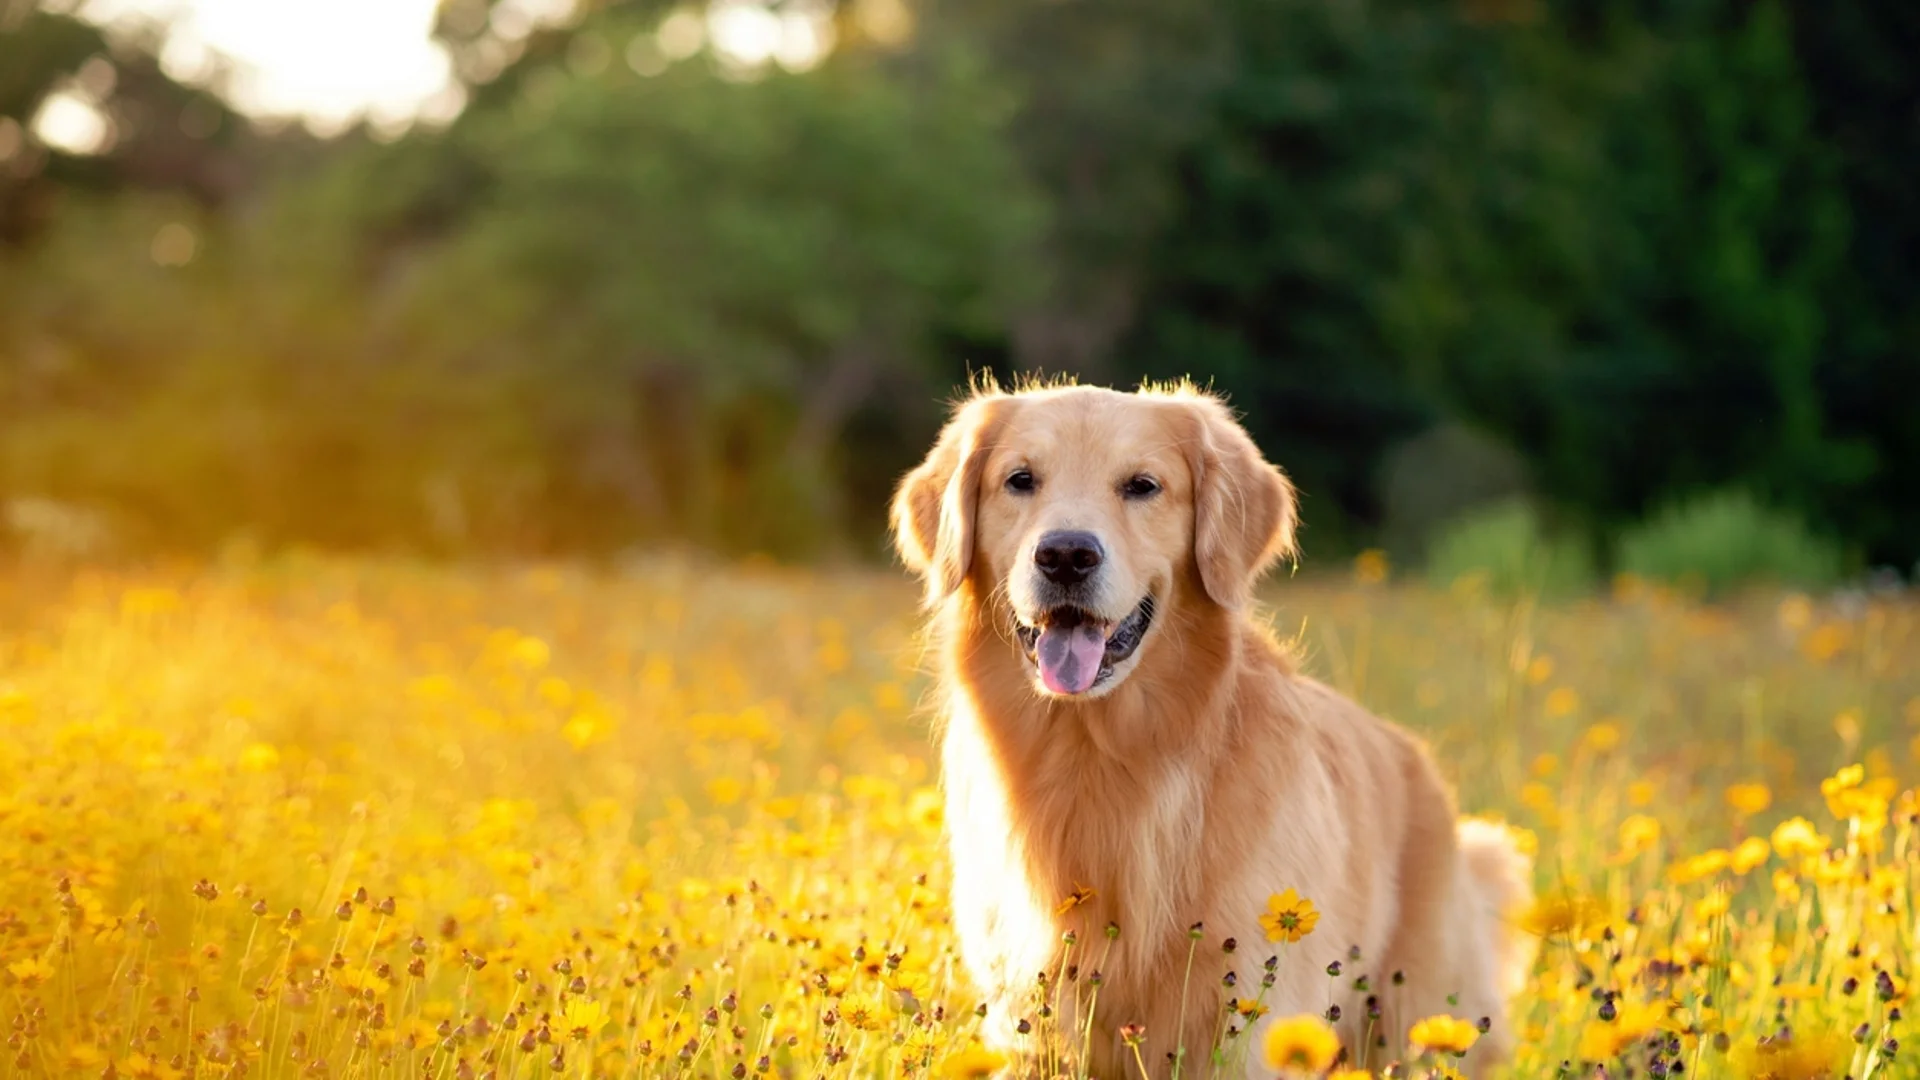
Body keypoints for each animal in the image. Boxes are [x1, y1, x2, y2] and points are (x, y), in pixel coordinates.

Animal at [890, 380, 1536, 1076]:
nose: (1065, 555)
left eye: (1143, 485)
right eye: (1019, 479)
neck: (1101, 759)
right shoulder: (1030, 1019)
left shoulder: (1254, 1013)